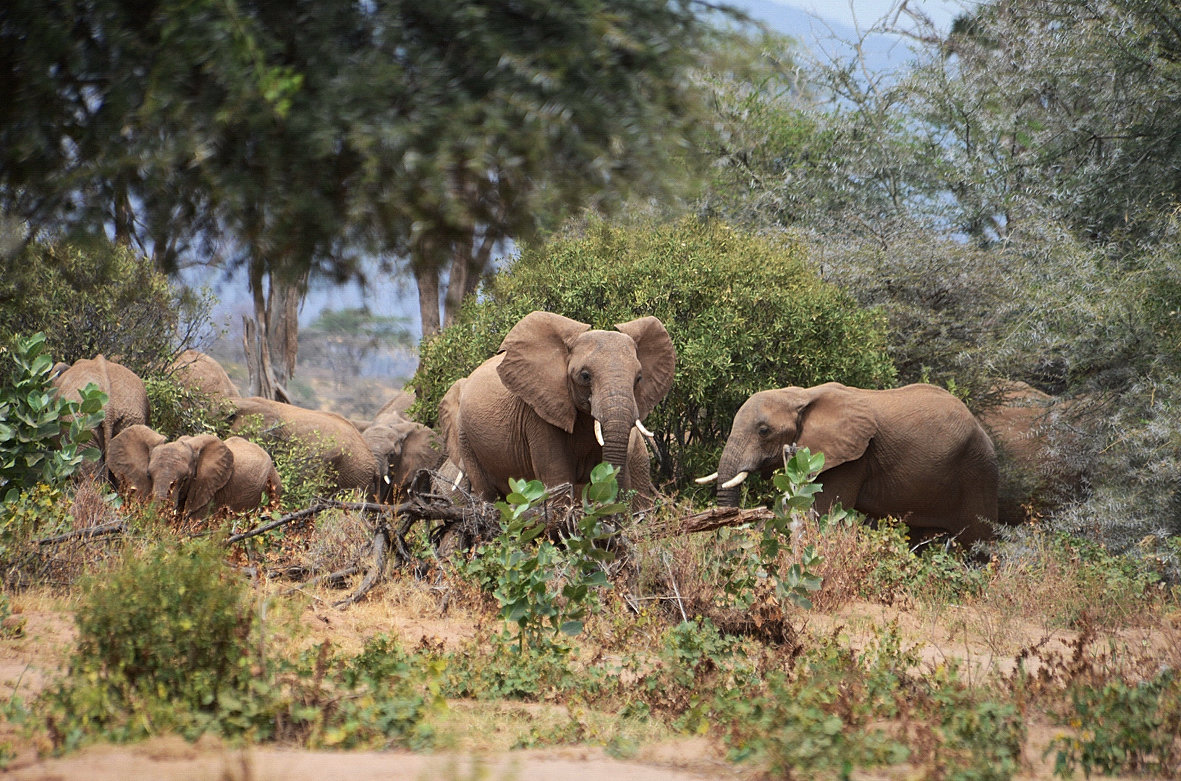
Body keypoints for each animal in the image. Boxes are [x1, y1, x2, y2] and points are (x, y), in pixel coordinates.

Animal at [453, 309, 675, 505]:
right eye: (585, 376)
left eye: (638, 378)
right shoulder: (538, 412)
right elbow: (557, 479)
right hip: (465, 437)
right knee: (488, 494)